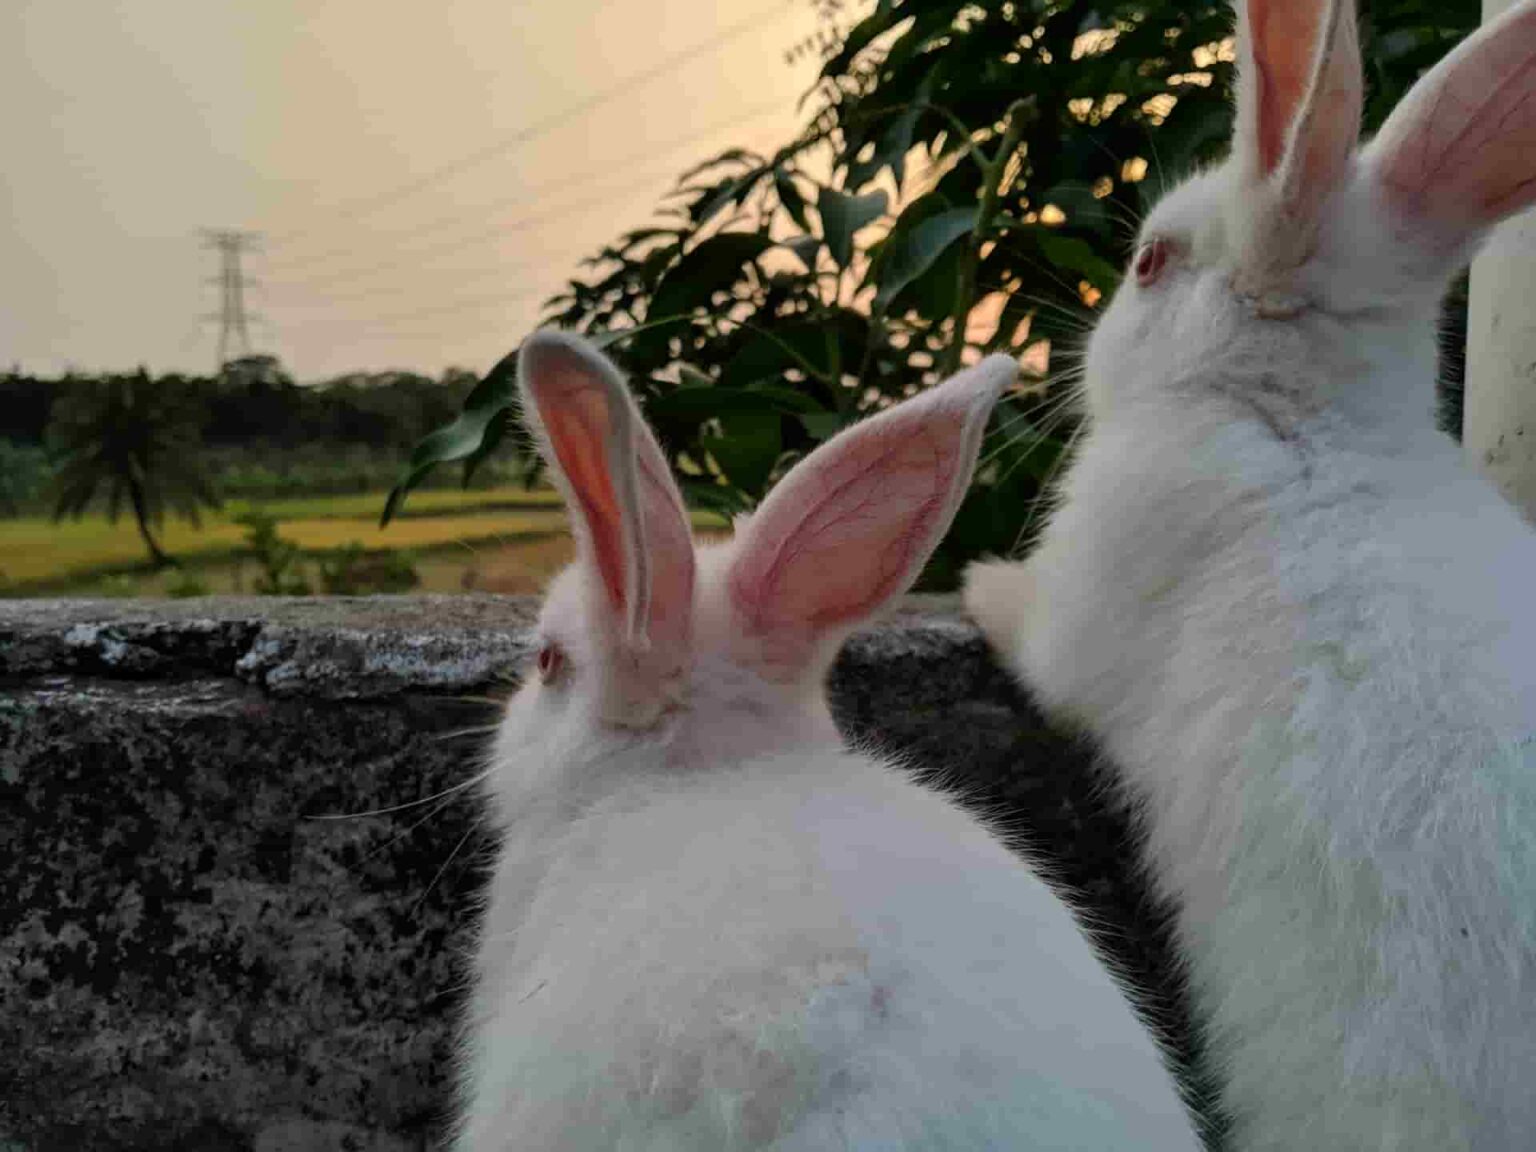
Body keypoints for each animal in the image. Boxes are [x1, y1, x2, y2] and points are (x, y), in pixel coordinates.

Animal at [964, 1, 1536, 1149]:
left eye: (1148, 264)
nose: (1082, 342)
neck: (1301, 419)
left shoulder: (1085, 596)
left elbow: (1038, 645)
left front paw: (975, 579)